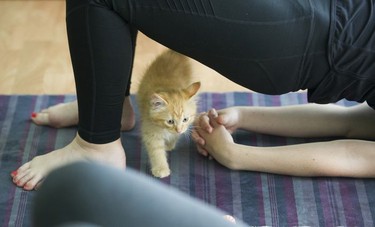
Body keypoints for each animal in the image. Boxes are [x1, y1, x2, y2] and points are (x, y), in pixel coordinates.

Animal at [137, 50, 201, 178]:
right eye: (170, 121)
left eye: (185, 119)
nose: (179, 130)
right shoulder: (150, 130)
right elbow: (157, 151)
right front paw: (161, 168)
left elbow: (174, 137)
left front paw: (170, 144)